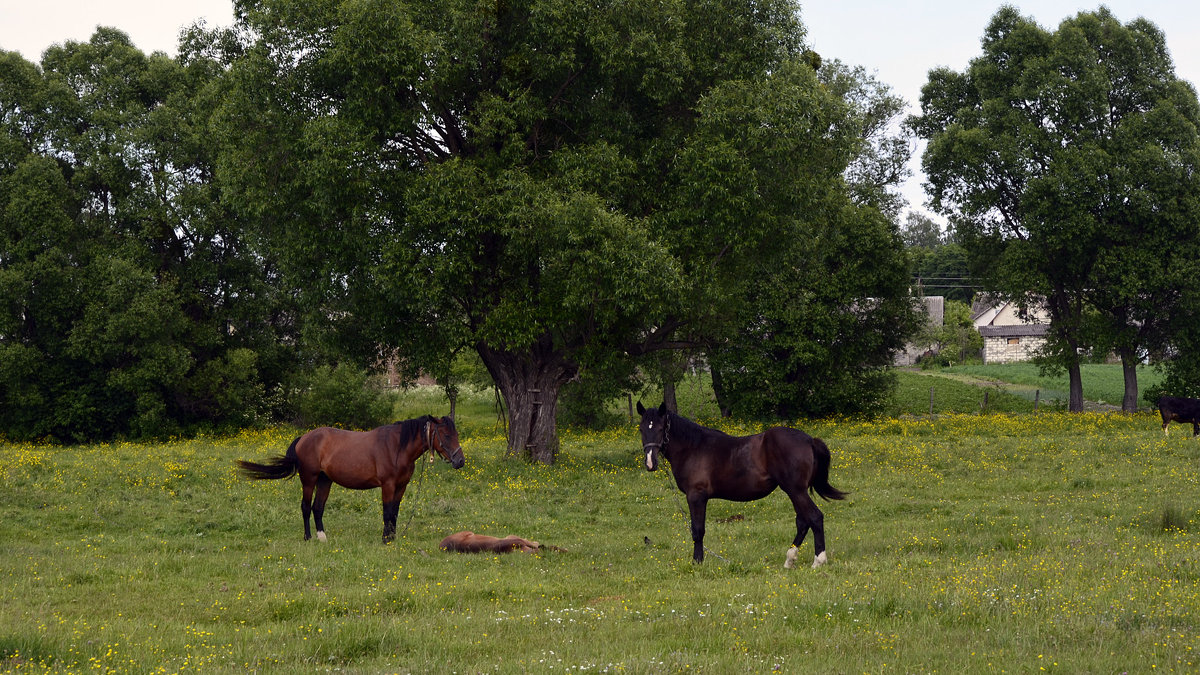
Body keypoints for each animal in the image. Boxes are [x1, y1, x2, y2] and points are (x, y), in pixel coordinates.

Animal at [235, 415, 463, 540]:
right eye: (446, 435)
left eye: (456, 434)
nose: (460, 461)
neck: (397, 447)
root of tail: (304, 438)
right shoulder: (388, 485)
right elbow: (387, 512)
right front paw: (385, 540)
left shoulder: (401, 486)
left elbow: (395, 513)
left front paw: (393, 537)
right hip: (309, 479)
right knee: (306, 507)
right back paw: (308, 537)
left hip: (325, 480)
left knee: (318, 508)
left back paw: (322, 537)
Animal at [633, 401, 849, 564]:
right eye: (642, 429)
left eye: (660, 428)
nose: (650, 463)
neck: (693, 448)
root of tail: (809, 440)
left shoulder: (696, 496)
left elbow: (697, 530)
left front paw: (697, 562)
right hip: (794, 491)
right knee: (803, 521)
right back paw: (790, 560)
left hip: (796, 490)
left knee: (814, 517)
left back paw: (818, 561)